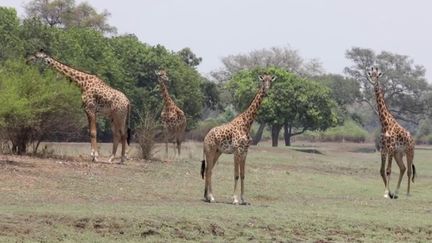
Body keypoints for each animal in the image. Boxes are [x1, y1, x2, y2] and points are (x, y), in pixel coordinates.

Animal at [201, 74, 276, 205]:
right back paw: (212, 197)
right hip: (210, 151)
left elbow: (243, 175)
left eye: (270, 81)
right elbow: (236, 175)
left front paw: (243, 199)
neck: (247, 124)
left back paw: (207, 197)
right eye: (263, 81)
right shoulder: (237, 151)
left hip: (217, 152)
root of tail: (205, 137)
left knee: (208, 170)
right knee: (209, 171)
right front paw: (235, 199)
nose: (266, 91)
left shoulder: (245, 152)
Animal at [366, 66, 416, 197]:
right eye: (371, 74)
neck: (385, 124)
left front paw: (386, 193)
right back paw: (397, 192)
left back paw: (407, 193)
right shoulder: (383, 149)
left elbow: (388, 170)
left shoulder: (391, 148)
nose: (373, 82)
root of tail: (413, 139)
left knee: (409, 171)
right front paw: (389, 193)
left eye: (378, 75)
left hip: (410, 152)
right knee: (403, 168)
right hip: (399, 154)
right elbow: (382, 171)